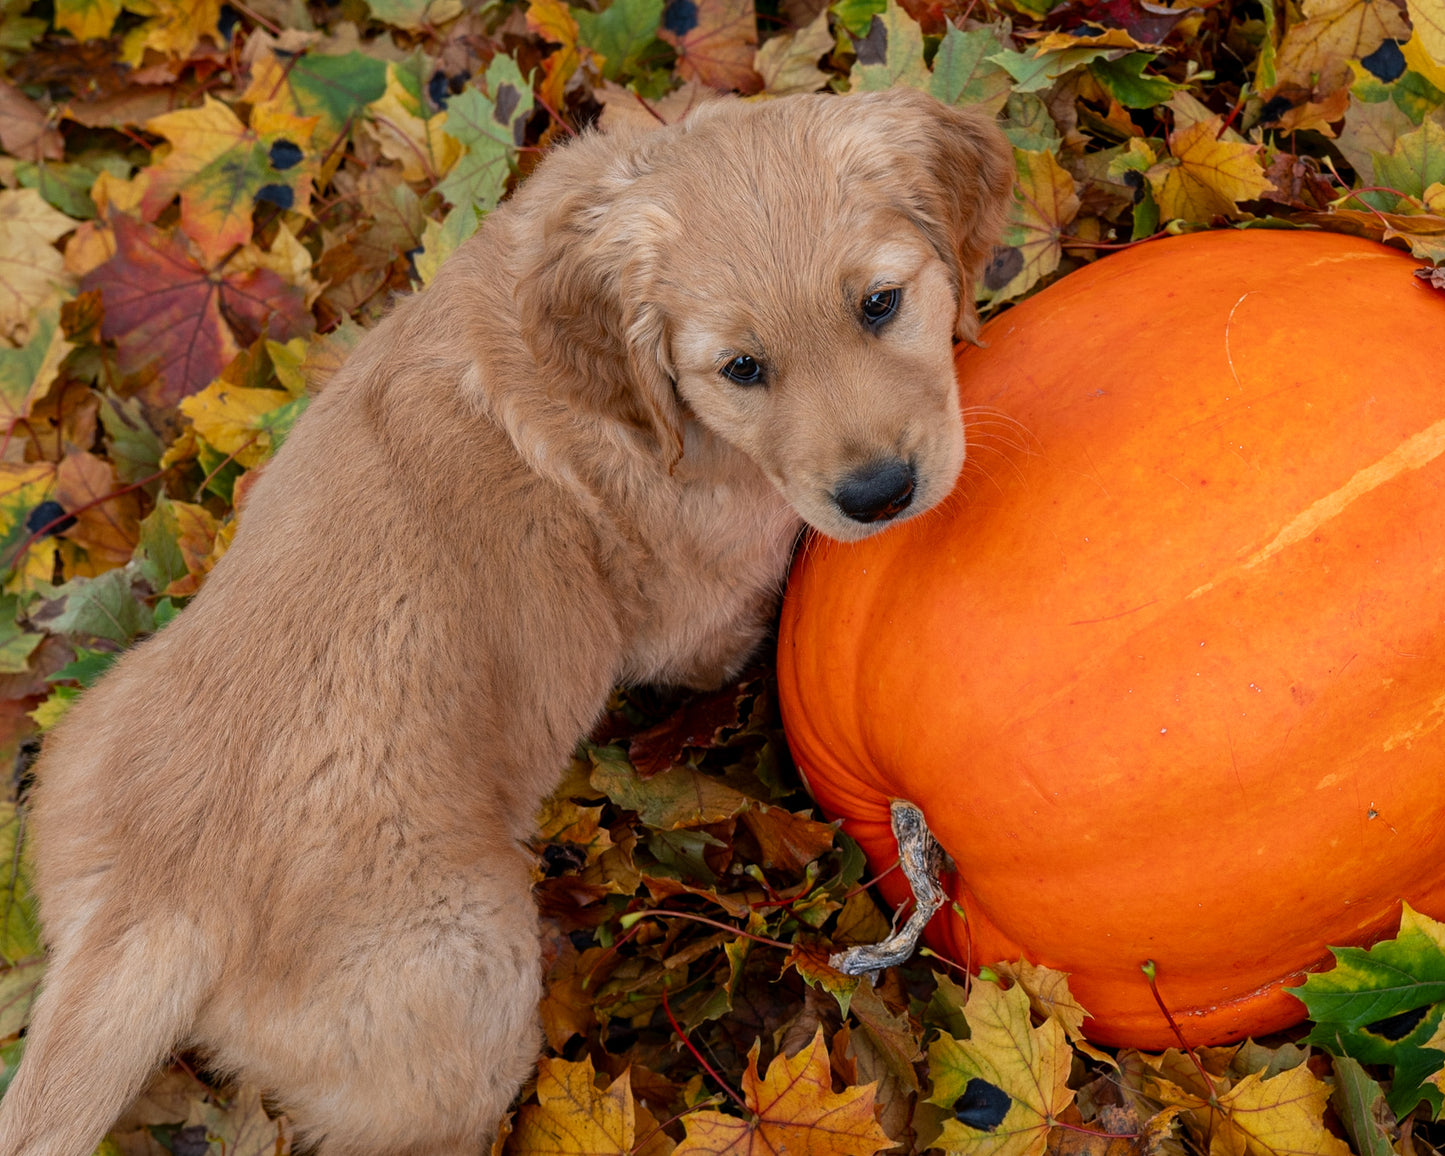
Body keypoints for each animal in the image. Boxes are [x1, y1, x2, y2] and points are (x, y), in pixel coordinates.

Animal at [0, 85, 1011, 1150]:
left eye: (880, 305)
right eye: (742, 370)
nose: (879, 493)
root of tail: (149, 905)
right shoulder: (702, 600)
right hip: (466, 977)